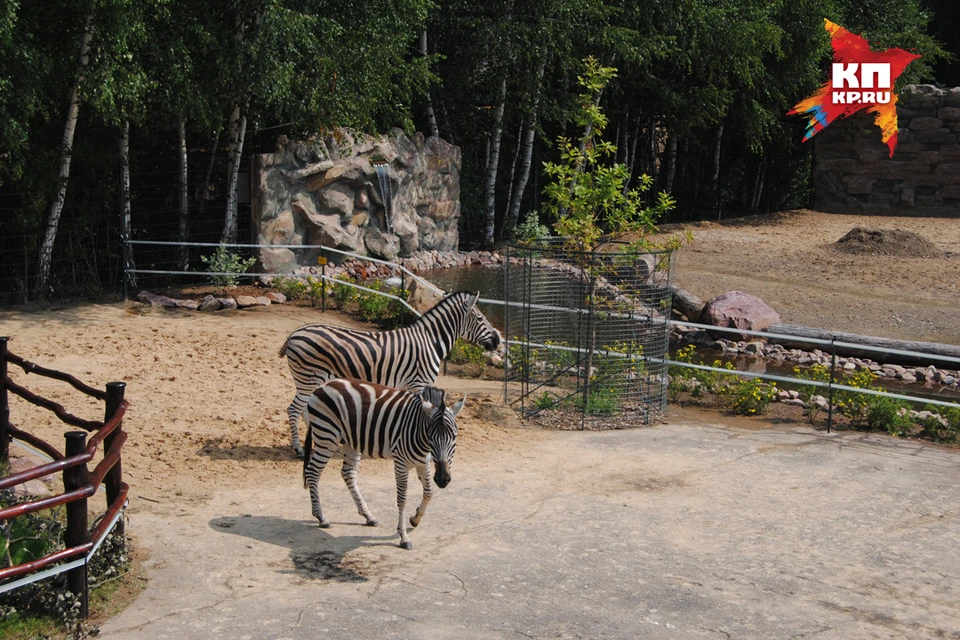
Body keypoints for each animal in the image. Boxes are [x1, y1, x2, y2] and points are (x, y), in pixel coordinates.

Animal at [282, 290, 498, 460]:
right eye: (481, 318)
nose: (497, 340)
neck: (430, 341)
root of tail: (294, 334)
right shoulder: (418, 383)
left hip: (310, 381)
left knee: (305, 408)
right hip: (308, 378)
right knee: (294, 409)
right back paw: (298, 448)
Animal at [300, 380, 464, 552]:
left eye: (454, 436)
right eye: (430, 435)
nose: (443, 479)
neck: (419, 433)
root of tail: (324, 385)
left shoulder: (423, 462)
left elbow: (429, 492)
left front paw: (415, 518)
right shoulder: (400, 463)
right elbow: (402, 499)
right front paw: (403, 536)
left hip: (350, 441)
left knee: (348, 473)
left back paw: (368, 516)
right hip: (327, 436)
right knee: (312, 472)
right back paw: (321, 517)